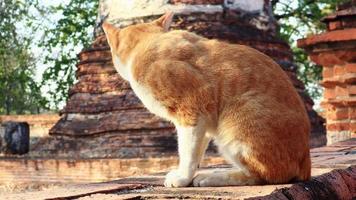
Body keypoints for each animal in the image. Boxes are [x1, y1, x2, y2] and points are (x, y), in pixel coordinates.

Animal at [101, 12, 310, 188]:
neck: (150, 42)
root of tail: (306, 164)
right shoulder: (206, 121)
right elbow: (198, 151)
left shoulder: (191, 111)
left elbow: (187, 152)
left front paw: (182, 177)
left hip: (238, 120)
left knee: (266, 175)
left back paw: (213, 177)